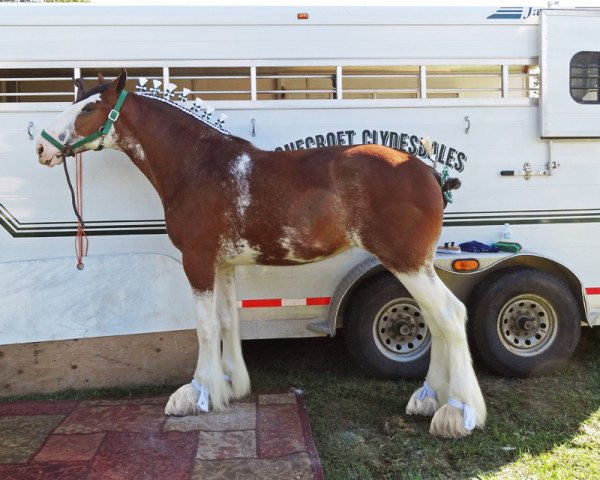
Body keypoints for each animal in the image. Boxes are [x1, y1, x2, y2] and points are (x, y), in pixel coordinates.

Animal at [35, 70, 486, 438]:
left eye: (89, 107)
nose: (41, 148)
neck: (197, 167)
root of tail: (429, 171)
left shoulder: (197, 261)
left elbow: (204, 327)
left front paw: (197, 393)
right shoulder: (223, 265)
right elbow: (227, 320)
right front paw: (230, 387)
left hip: (406, 262)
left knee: (449, 315)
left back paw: (457, 413)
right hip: (415, 266)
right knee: (435, 320)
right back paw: (428, 398)